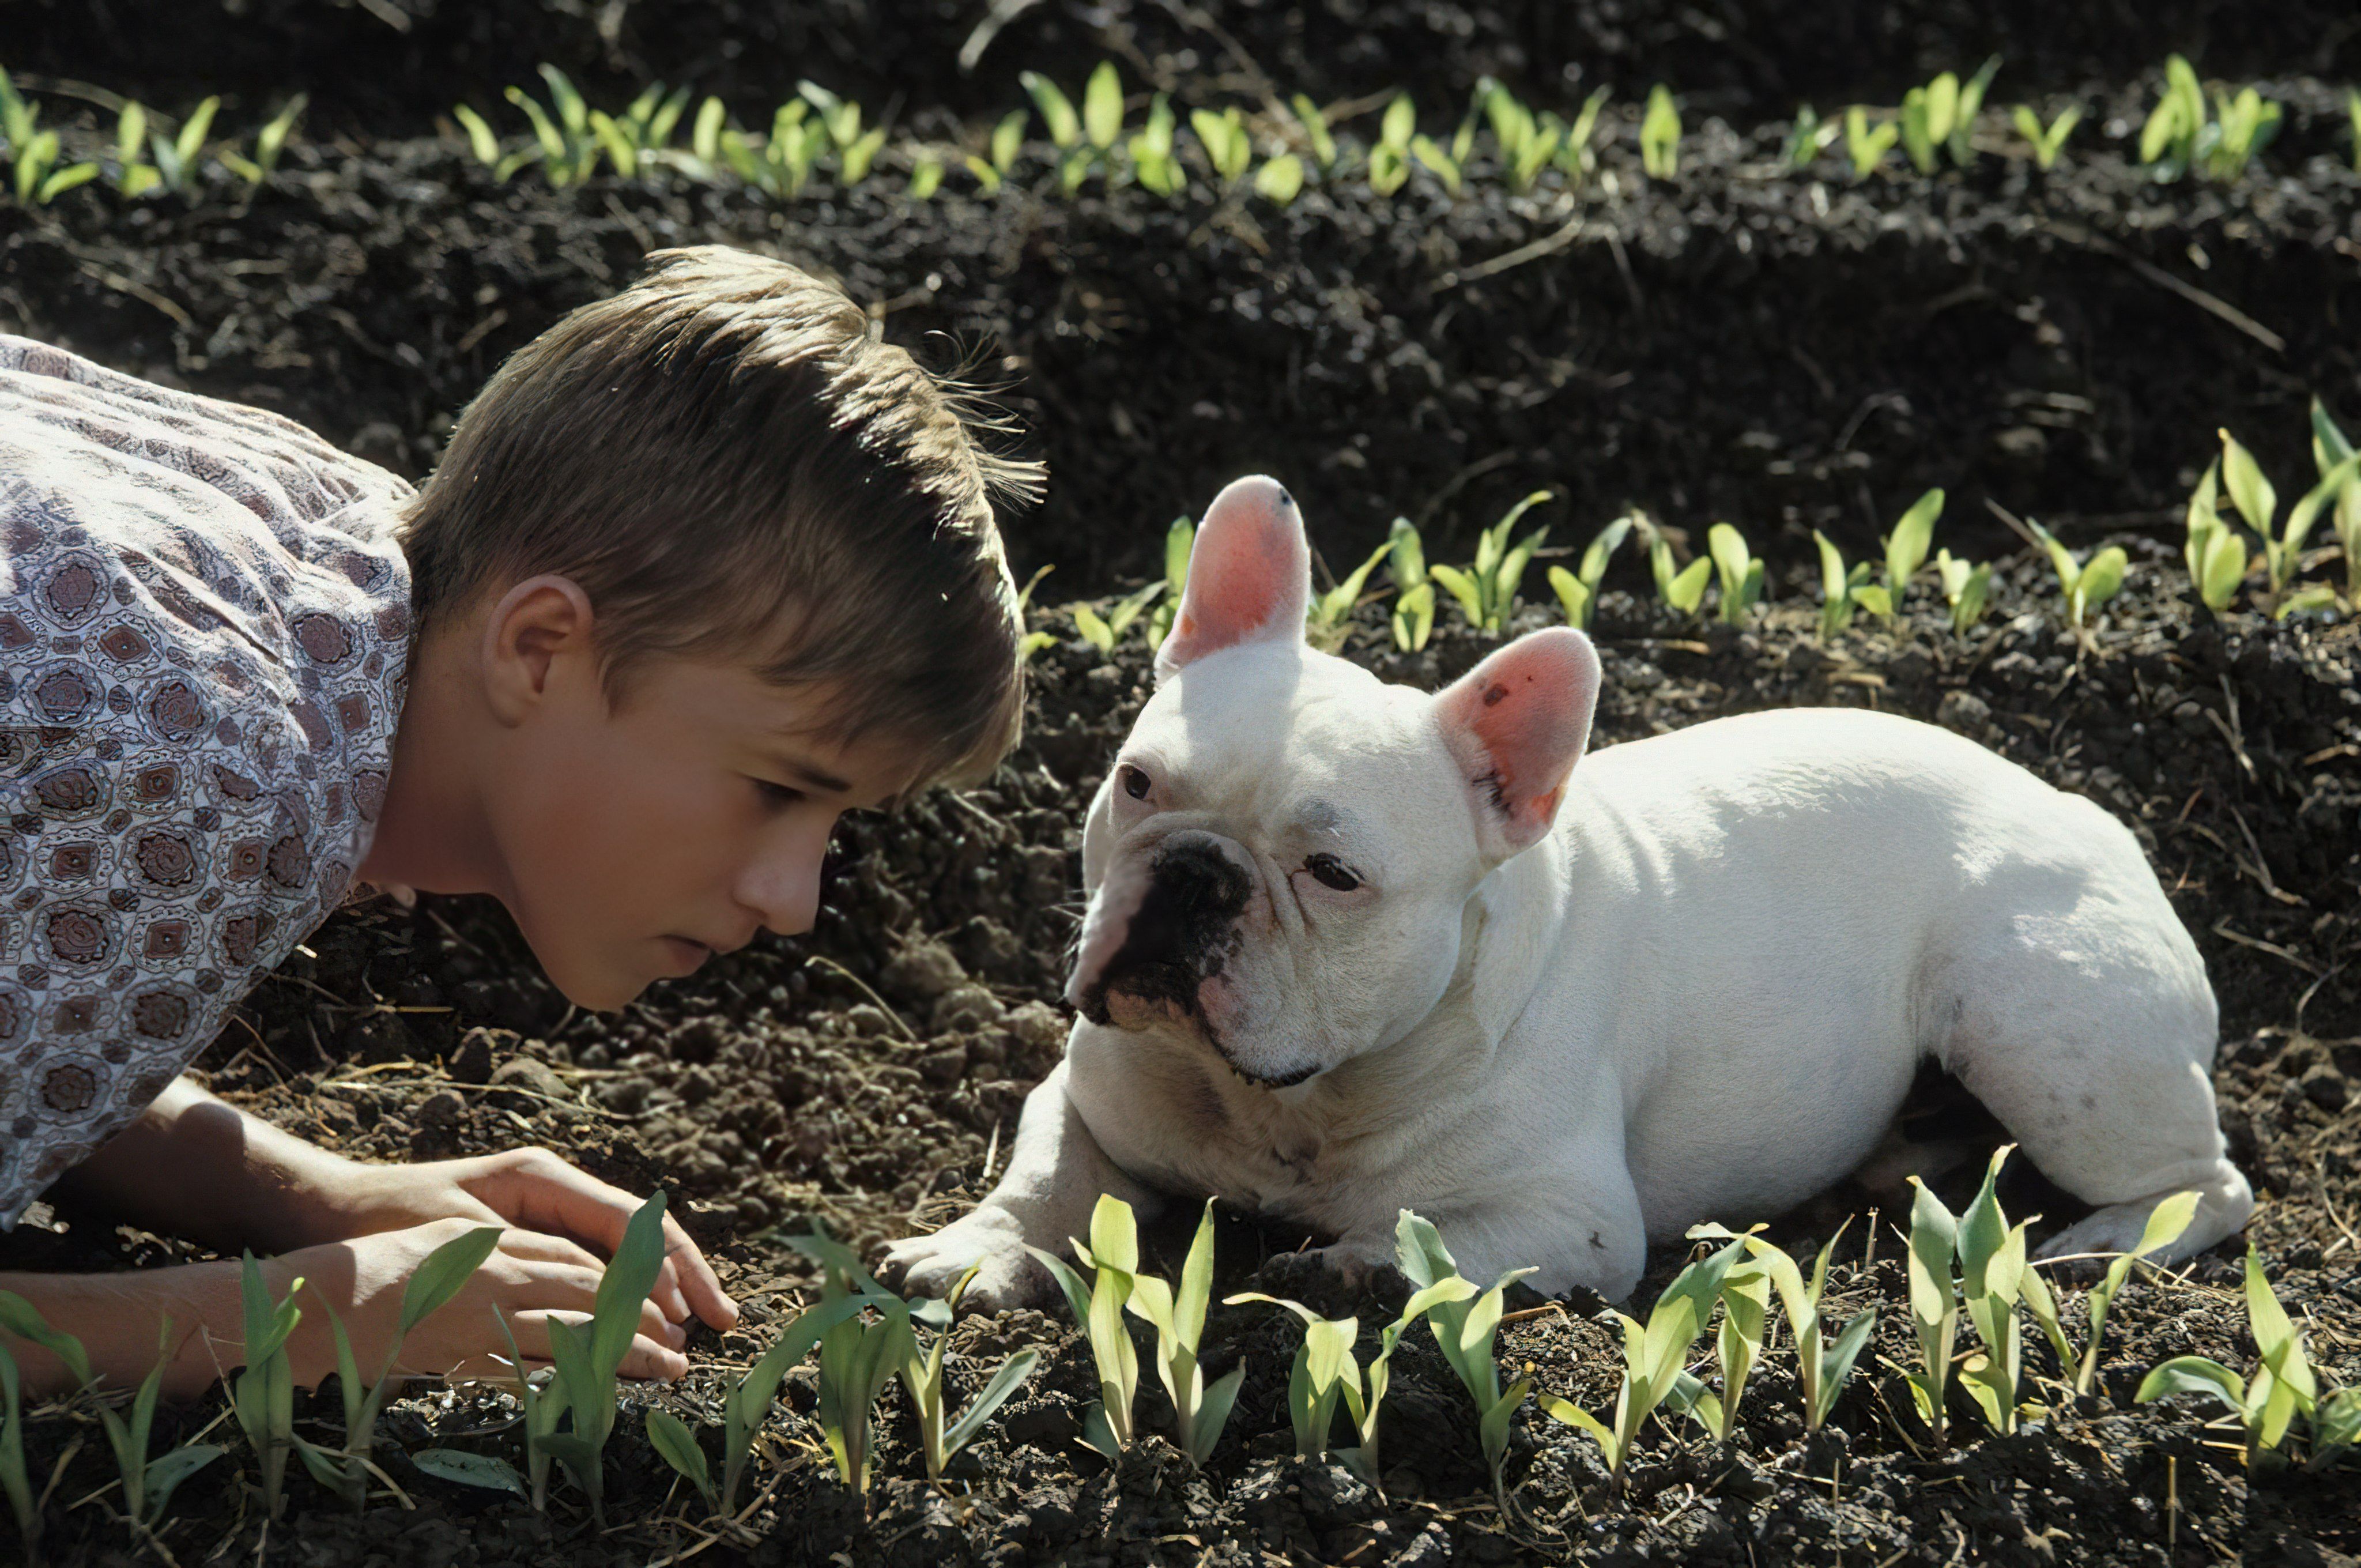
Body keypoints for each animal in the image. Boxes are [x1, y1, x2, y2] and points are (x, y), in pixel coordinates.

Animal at [888, 472, 2247, 1303]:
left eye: (1333, 875)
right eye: (1136, 785)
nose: (1194, 874)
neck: (1296, 1101)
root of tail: (2081, 808)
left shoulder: (1574, 1221)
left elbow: (1437, 1242)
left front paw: (1355, 1261)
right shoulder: (1083, 1099)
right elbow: (1043, 1179)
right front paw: (970, 1251)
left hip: (2035, 1024)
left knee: (2210, 1181)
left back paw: (2099, 1245)